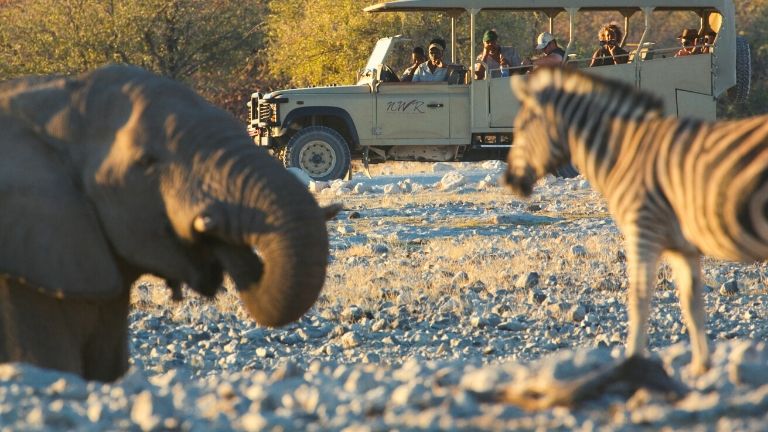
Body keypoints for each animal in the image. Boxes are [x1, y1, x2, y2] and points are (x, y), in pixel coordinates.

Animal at [508, 66, 764, 374]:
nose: (508, 180)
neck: (624, 151)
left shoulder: (643, 229)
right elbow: (692, 303)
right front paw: (700, 367)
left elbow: (639, 299)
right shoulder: (681, 246)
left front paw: (633, 364)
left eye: (522, 127)